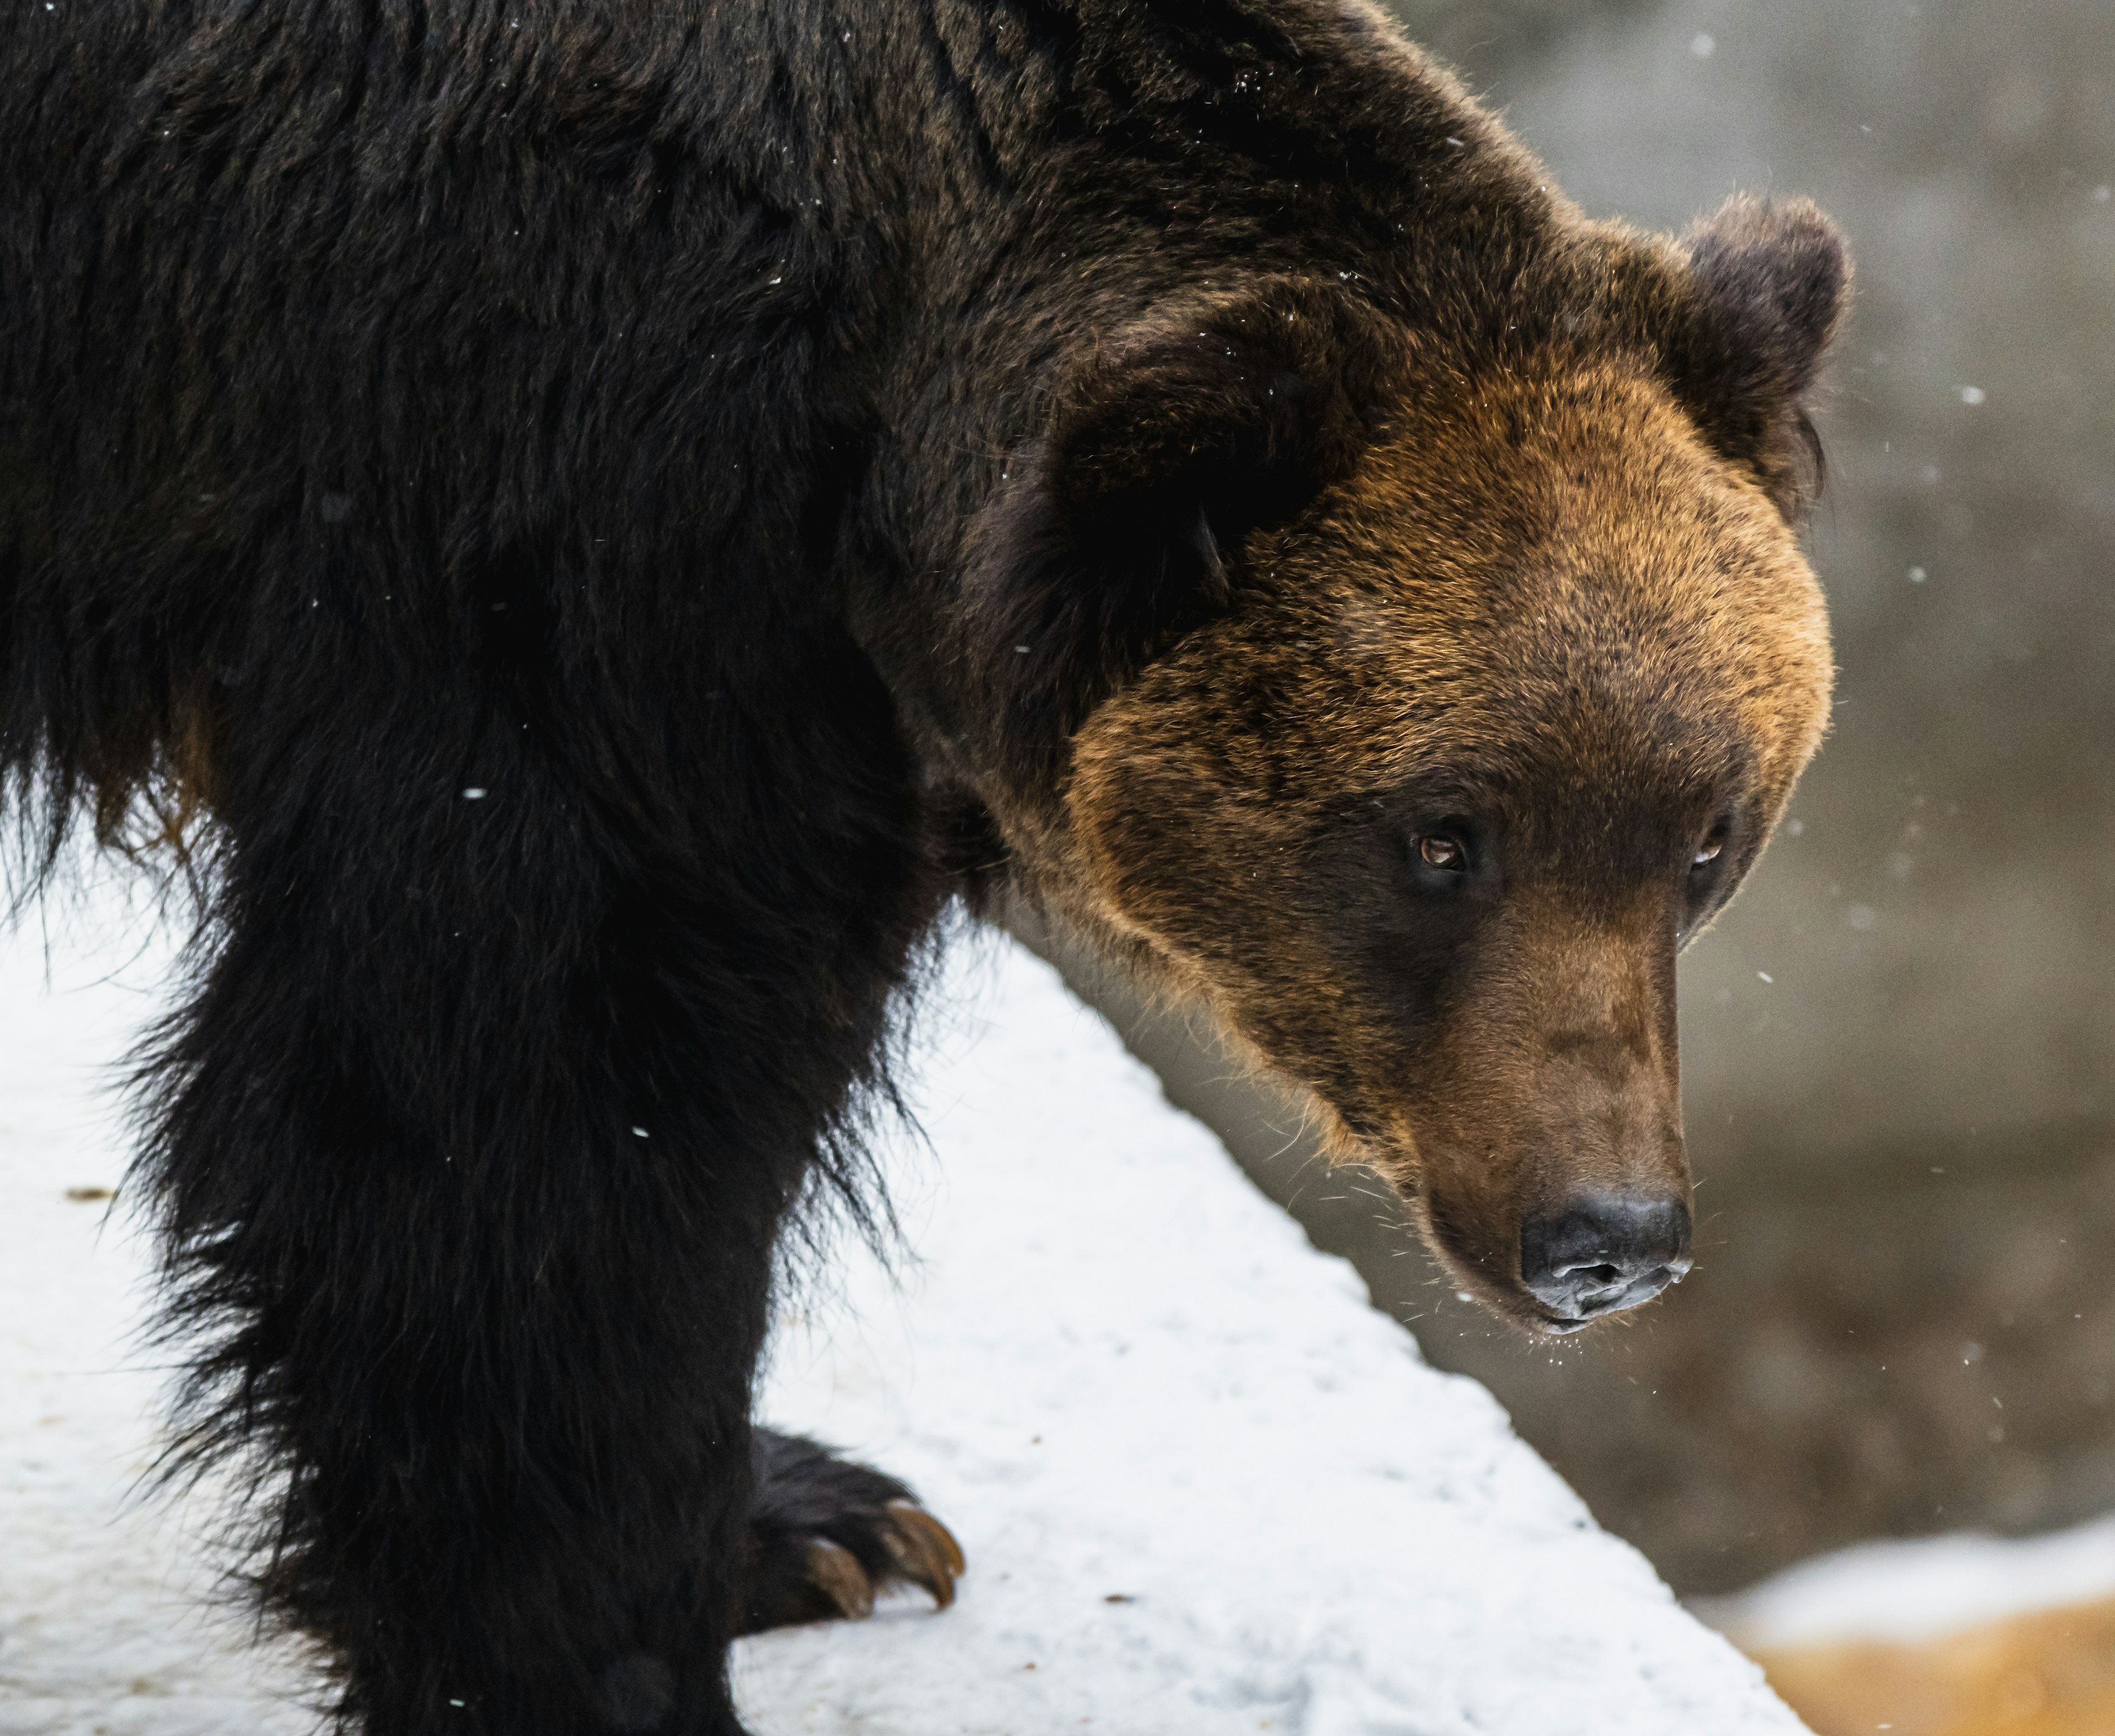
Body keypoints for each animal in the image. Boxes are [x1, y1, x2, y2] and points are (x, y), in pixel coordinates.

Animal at [0, 0, 1844, 1725]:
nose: (1604, 1232)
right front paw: (609, 1648)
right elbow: (502, 1118)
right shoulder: (543, 535)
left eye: (1704, 836)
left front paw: (816, 1520)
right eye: (1441, 836)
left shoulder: (818, 719)